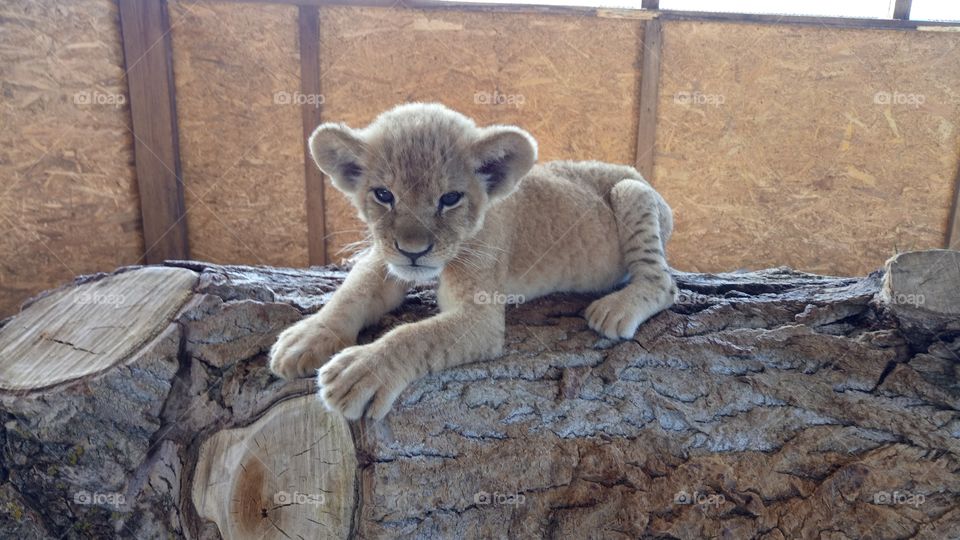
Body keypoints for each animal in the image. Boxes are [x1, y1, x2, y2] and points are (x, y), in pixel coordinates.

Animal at [269, 103, 677, 420]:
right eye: (383, 195)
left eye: (450, 198)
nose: (412, 250)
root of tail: (638, 174)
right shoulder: (384, 258)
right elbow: (353, 291)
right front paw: (305, 338)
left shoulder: (481, 317)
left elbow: (415, 336)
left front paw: (361, 371)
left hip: (632, 193)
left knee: (665, 284)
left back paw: (615, 310)